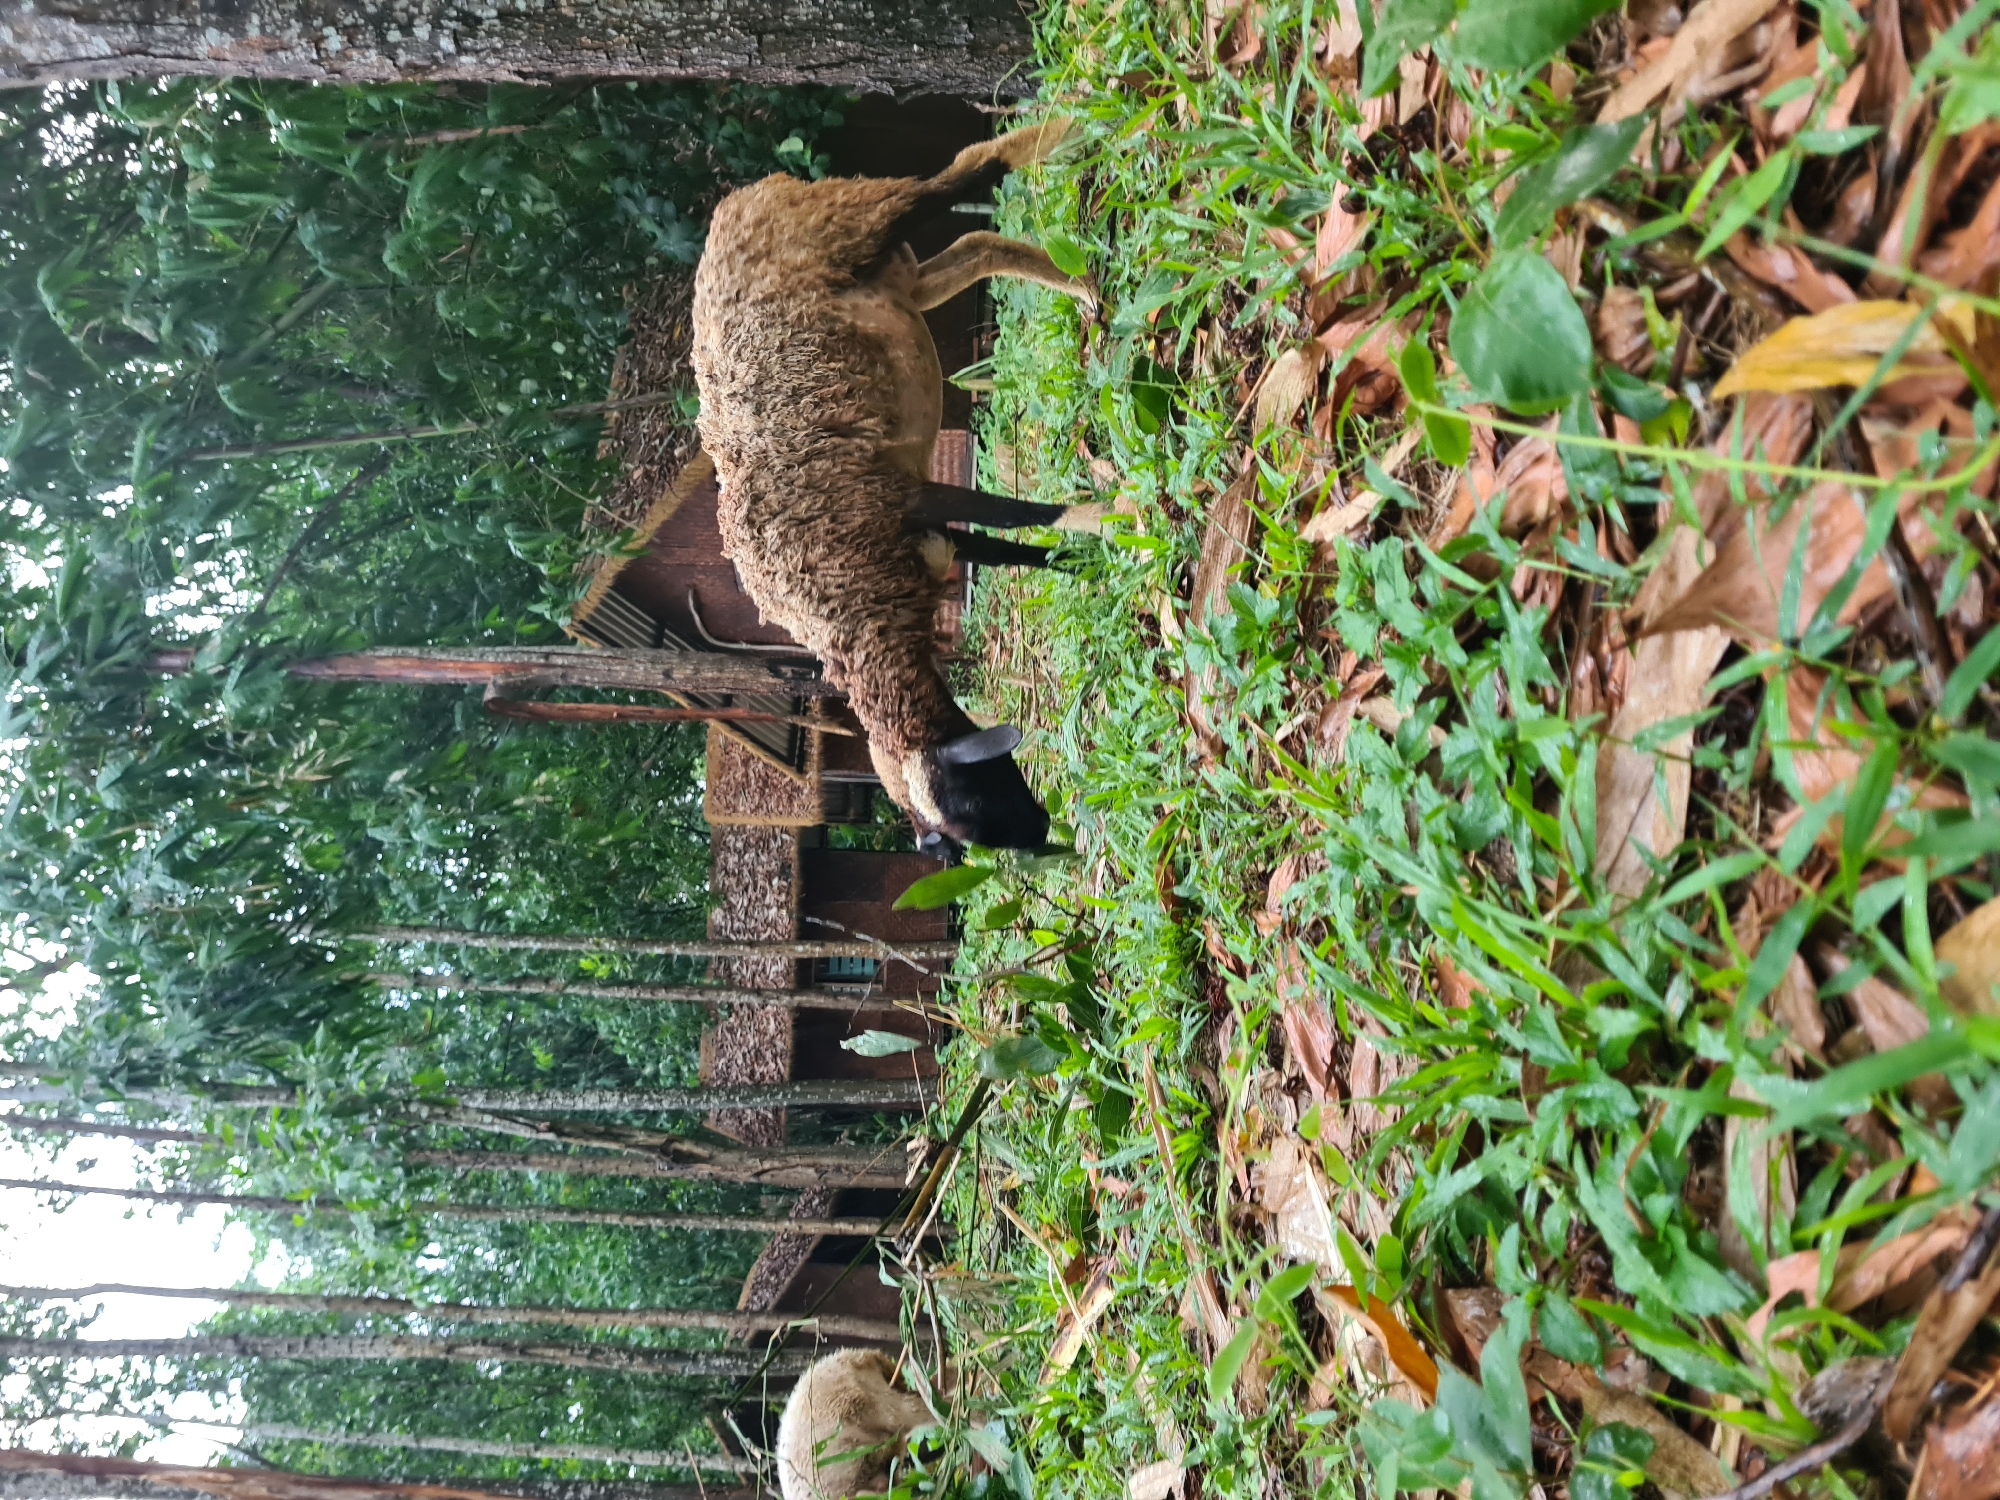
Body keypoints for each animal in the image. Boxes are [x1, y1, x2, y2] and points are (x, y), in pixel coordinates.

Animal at [690, 120, 1099, 852]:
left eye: (977, 791)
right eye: (972, 822)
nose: (1047, 834)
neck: (857, 608)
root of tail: (739, 201)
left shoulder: (904, 497)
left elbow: (1022, 515)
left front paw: (1114, 515)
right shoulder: (931, 535)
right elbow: (1013, 547)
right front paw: (1089, 561)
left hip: (856, 220)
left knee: (970, 171)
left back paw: (1068, 131)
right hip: (895, 280)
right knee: (975, 248)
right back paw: (1080, 284)